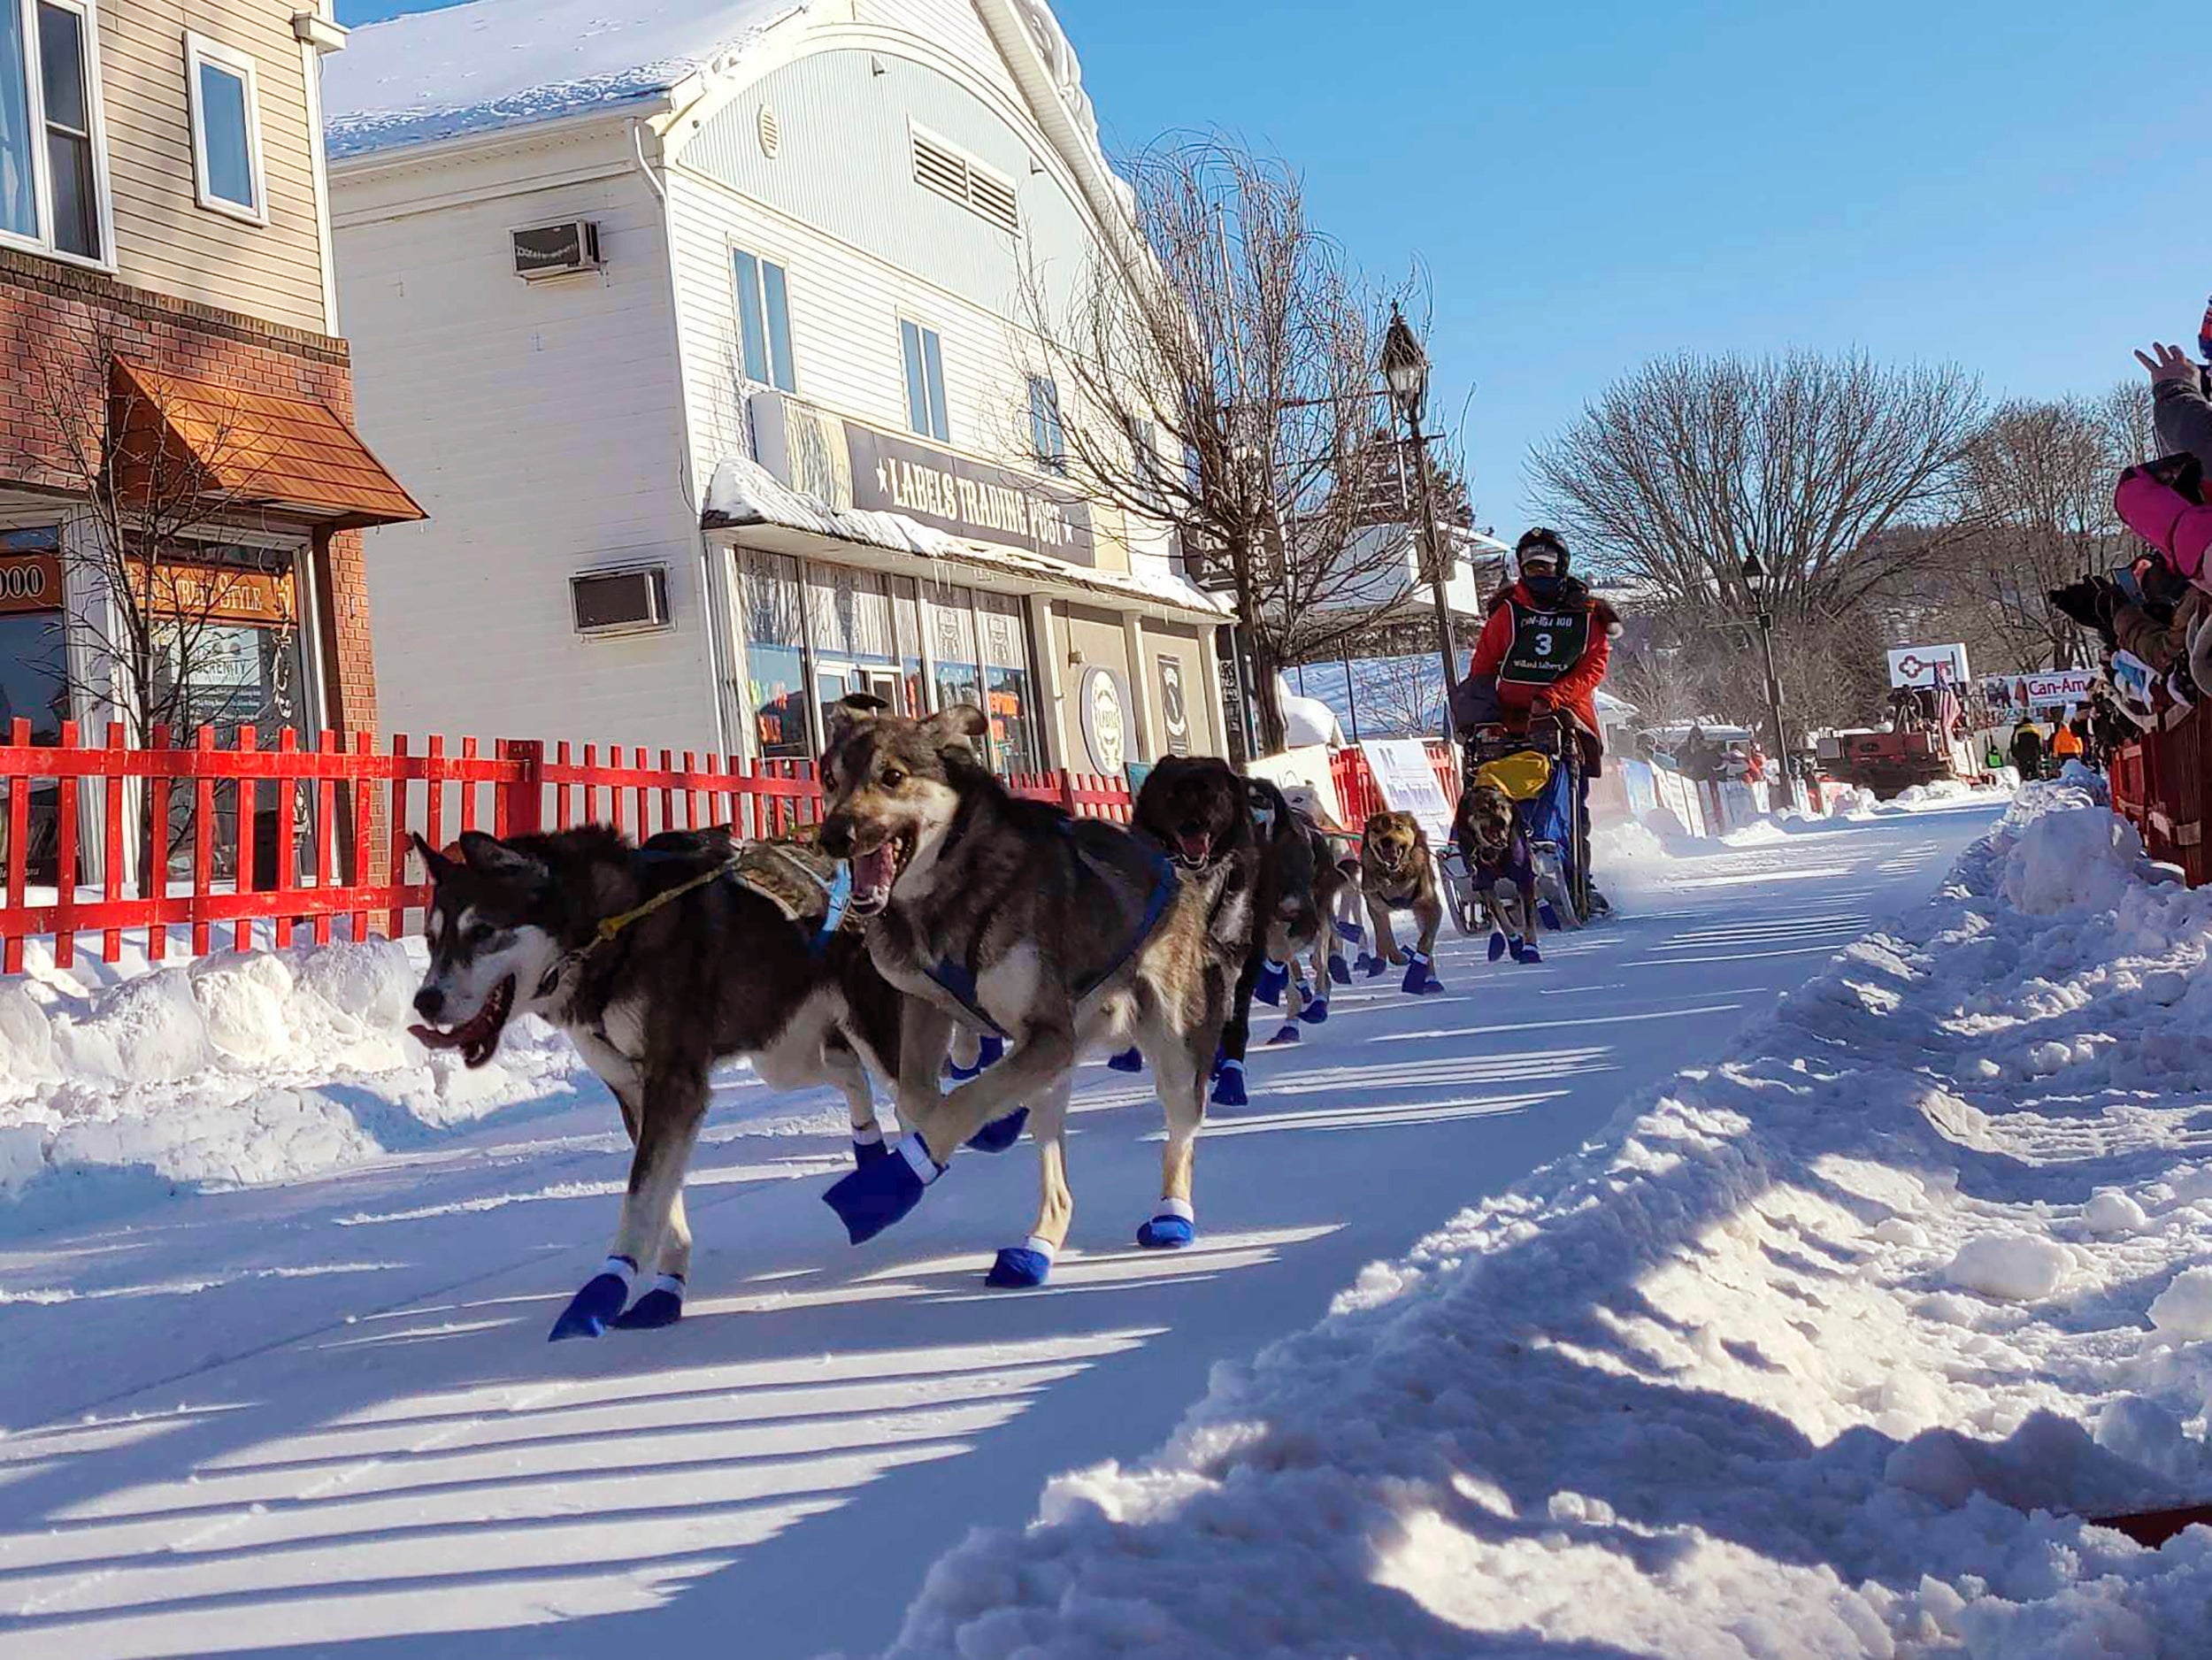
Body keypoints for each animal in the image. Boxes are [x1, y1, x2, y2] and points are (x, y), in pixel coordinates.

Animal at [411, 827, 902, 1345]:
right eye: (431, 939)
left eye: (482, 932)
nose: (425, 1001)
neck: (610, 933)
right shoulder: (637, 1094)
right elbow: (663, 1202)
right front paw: (665, 1291)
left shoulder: (674, 1083)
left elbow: (641, 1199)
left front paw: (602, 1292)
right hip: (782, 1060)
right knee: (850, 1071)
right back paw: (871, 1156)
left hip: (869, 1042)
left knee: (911, 1101)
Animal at [810, 695, 1239, 1292]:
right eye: (830, 778)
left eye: (891, 777)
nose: (833, 837)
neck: (949, 887)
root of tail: (1176, 872)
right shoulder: (925, 1003)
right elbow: (920, 1097)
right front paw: (982, 1125)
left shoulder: (1048, 1035)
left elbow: (960, 1103)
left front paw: (889, 1186)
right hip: (1057, 1066)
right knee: (1057, 1182)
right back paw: (1035, 1246)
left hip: (1171, 1048)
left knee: (1180, 1135)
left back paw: (1171, 1216)